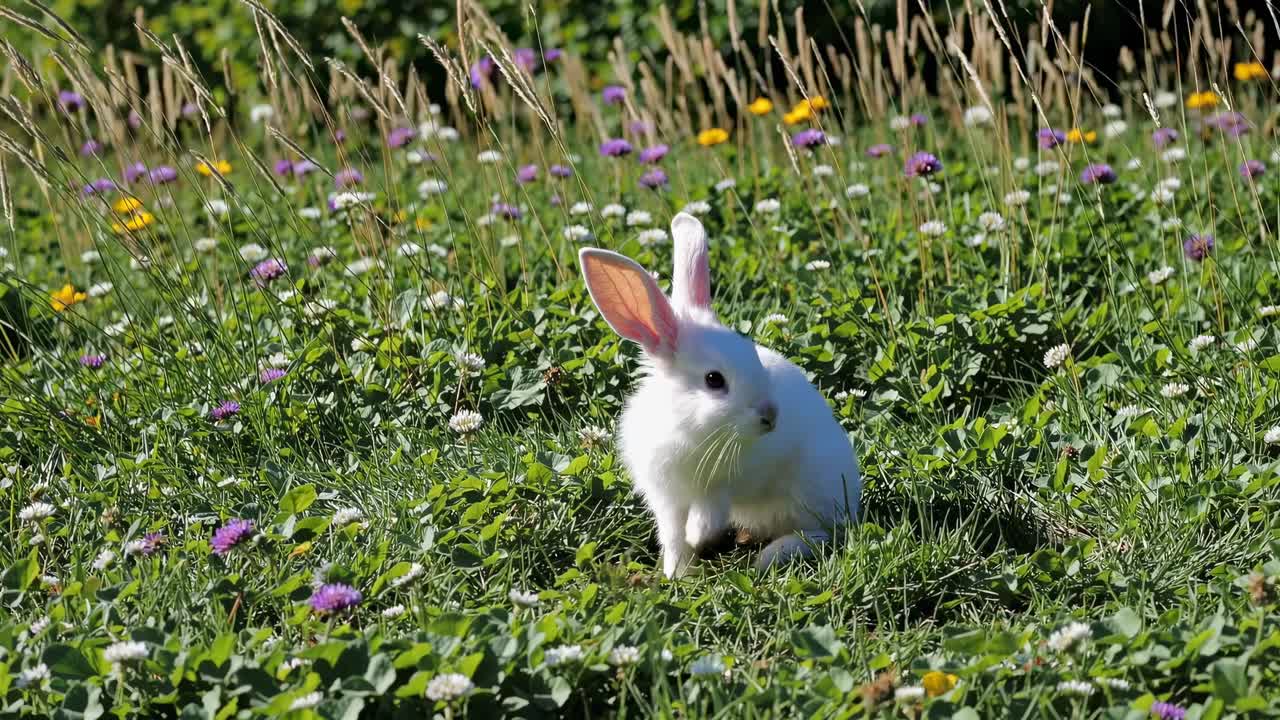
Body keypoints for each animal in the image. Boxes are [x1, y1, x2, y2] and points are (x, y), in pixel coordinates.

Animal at [578, 211, 861, 578]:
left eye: (753, 354)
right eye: (714, 380)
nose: (770, 416)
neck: (686, 428)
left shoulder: (729, 483)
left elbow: (711, 507)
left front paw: (698, 535)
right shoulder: (666, 498)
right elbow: (673, 537)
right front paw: (676, 573)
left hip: (812, 492)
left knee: (822, 533)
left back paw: (771, 555)